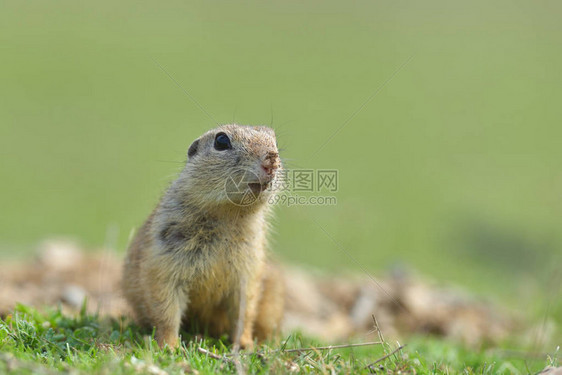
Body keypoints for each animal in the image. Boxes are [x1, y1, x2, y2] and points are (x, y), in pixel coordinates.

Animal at [120, 125, 282, 350]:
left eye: (274, 139)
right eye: (221, 141)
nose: (272, 159)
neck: (228, 216)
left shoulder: (249, 268)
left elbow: (244, 310)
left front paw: (245, 344)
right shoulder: (164, 259)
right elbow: (165, 308)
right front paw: (170, 346)